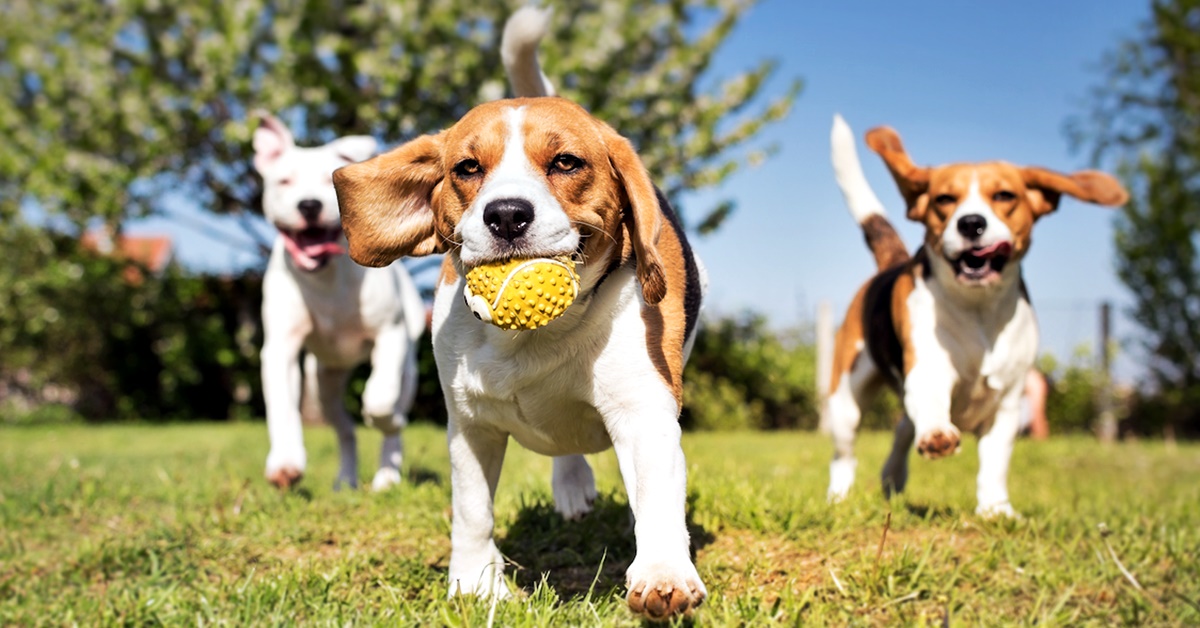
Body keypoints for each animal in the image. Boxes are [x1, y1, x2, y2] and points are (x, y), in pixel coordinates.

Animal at [250, 115, 424, 494]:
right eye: (284, 181)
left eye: (328, 182)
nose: (309, 205)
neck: (325, 277)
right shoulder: (281, 348)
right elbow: (282, 407)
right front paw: (285, 463)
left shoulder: (390, 335)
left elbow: (380, 399)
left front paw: (383, 418)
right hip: (323, 383)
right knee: (344, 428)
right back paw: (345, 479)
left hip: (408, 369)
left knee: (393, 415)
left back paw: (387, 475)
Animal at [328, 7, 705, 619]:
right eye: (466, 168)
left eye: (566, 162)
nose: (506, 214)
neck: (533, 338)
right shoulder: (470, 425)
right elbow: (472, 511)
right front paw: (474, 584)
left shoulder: (643, 411)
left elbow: (655, 498)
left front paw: (663, 574)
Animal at [825, 116, 1123, 516]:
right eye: (944, 200)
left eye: (1004, 196)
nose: (970, 223)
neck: (978, 309)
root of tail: (891, 264)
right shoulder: (928, 369)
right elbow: (931, 404)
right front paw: (937, 435)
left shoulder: (1008, 401)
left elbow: (995, 462)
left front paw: (996, 510)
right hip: (846, 399)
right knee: (845, 455)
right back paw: (838, 497)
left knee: (903, 428)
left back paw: (893, 479)